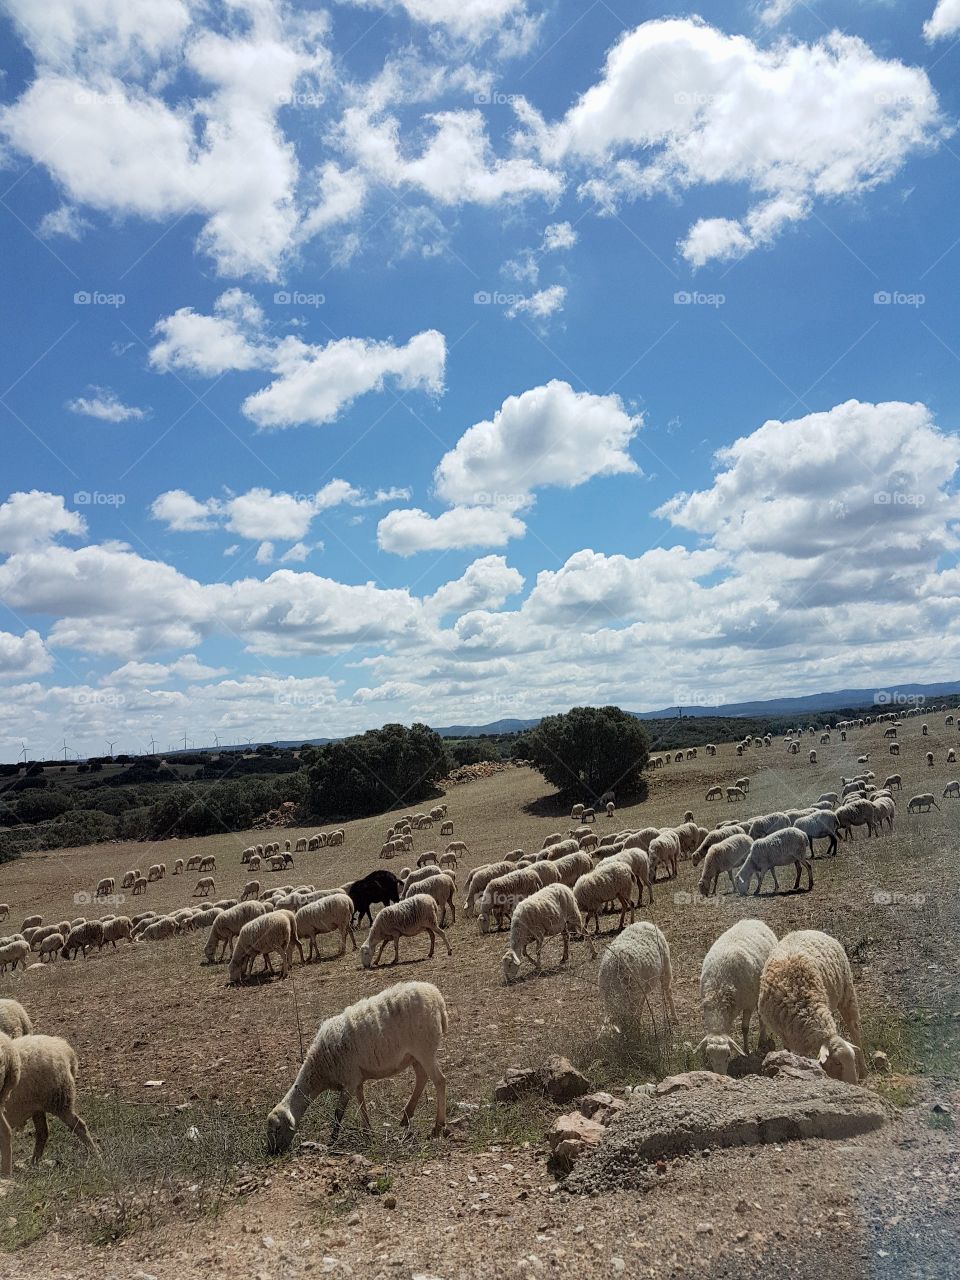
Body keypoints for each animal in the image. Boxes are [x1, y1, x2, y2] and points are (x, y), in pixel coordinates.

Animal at [267, 981, 447, 1151]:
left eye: (277, 1128)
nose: (273, 1151)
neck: (319, 1069)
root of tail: (437, 996)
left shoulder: (349, 1080)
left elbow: (338, 1112)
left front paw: (333, 1139)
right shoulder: (357, 1080)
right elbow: (362, 1106)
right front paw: (368, 1133)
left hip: (425, 1049)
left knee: (439, 1080)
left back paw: (438, 1126)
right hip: (414, 1056)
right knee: (422, 1078)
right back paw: (406, 1117)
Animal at [695, 919, 779, 1073]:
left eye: (728, 1055)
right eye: (709, 1056)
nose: (721, 1075)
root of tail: (753, 920)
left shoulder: (748, 1004)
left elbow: (744, 1029)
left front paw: (746, 1051)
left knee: (761, 1015)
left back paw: (762, 1040)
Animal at [758, 930, 866, 1083]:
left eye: (852, 1059)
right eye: (837, 1063)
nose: (852, 1085)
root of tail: (804, 930)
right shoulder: (788, 1035)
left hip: (847, 991)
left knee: (854, 1029)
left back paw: (863, 1071)